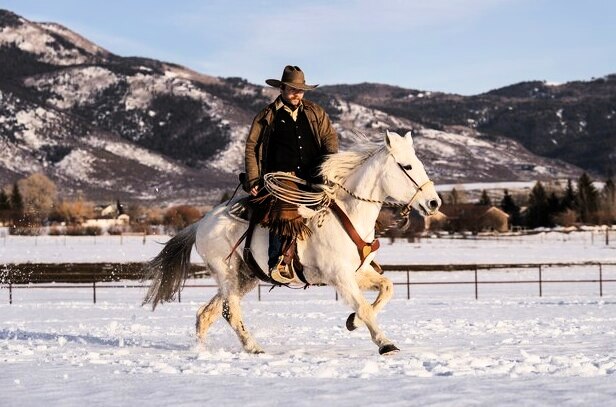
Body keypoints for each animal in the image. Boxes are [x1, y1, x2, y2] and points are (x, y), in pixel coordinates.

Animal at [143, 131, 442, 356]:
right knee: (230, 312)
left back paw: (202, 350)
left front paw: (353, 322)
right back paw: (253, 347)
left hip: (245, 276)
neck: (349, 214)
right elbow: (365, 307)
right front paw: (385, 343)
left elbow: (386, 289)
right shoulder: (340, 277)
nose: (434, 202)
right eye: (407, 166)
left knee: (207, 313)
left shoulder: (359, 272)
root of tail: (201, 223)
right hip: (225, 272)